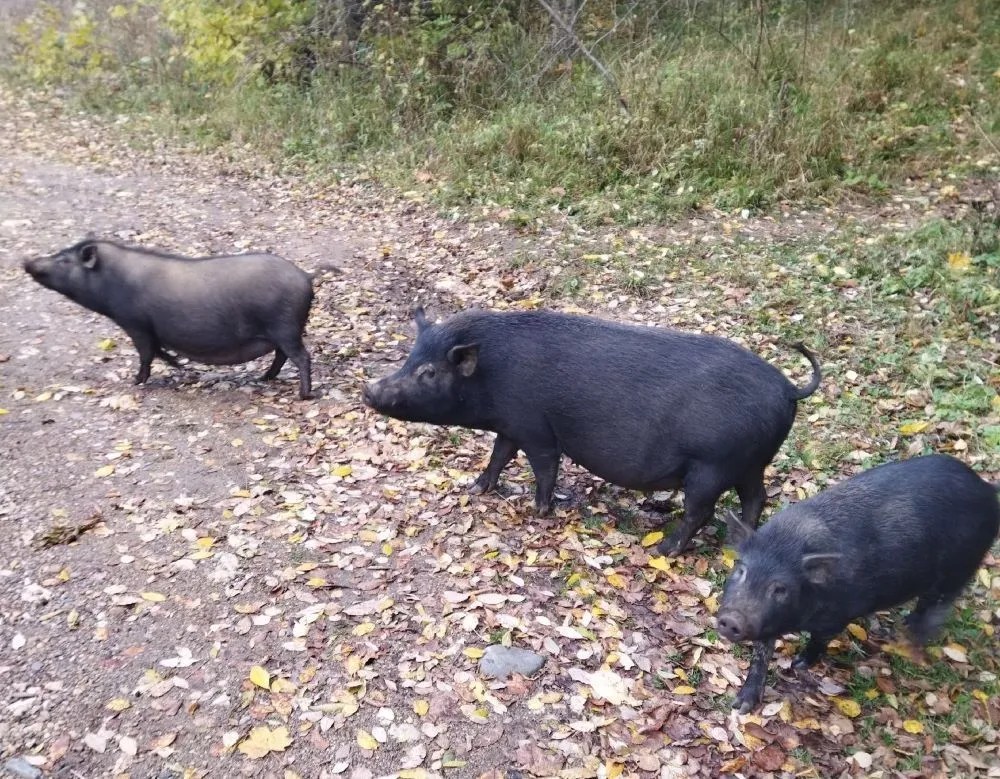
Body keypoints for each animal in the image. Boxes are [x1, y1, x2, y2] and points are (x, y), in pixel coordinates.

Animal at [23, 236, 314, 396]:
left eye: (64, 260)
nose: (26, 260)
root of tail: (306, 277)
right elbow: (158, 350)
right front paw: (180, 365)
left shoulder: (134, 323)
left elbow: (146, 354)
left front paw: (136, 381)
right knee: (282, 355)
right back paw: (264, 378)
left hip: (284, 326)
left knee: (301, 356)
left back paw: (302, 395)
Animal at [360, 308, 820, 556]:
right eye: (408, 358)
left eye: (428, 371)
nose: (369, 389)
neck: (491, 376)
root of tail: (788, 389)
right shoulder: (511, 425)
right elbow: (499, 454)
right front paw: (475, 488)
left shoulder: (536, 427)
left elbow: (544, 467)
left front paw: (540, 511)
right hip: (751, 463)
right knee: (757, 497)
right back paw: (733, 546)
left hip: (714, 465)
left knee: (700, 510)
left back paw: (663, 549)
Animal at [720, 454, 1000, 716]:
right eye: (741, 570)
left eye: (780, 588)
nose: (732, 619)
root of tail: (986, 488)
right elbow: (760, 655)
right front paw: (741, 706)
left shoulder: (837, 617)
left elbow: (818, 641)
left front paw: (798, 664)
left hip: (961, 568)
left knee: (938, 604)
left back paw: (911, 637)